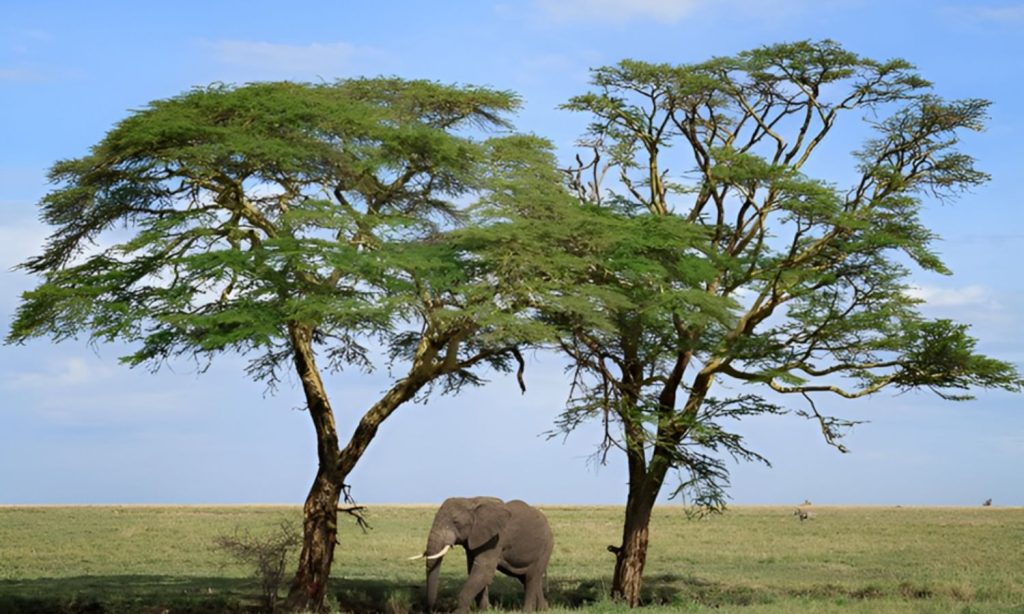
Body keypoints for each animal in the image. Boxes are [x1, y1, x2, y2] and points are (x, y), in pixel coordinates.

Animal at [407, 497, 552, 609]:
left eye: (455, 522)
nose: (431, 608)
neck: (471, 501)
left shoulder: (496, 538)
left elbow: (483, 571)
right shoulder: (474, 539)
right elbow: (474, 569)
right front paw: (484, 610)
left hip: (545, 548)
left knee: (531, 578)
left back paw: (527, 611)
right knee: (528, 579)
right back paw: (542, 610)